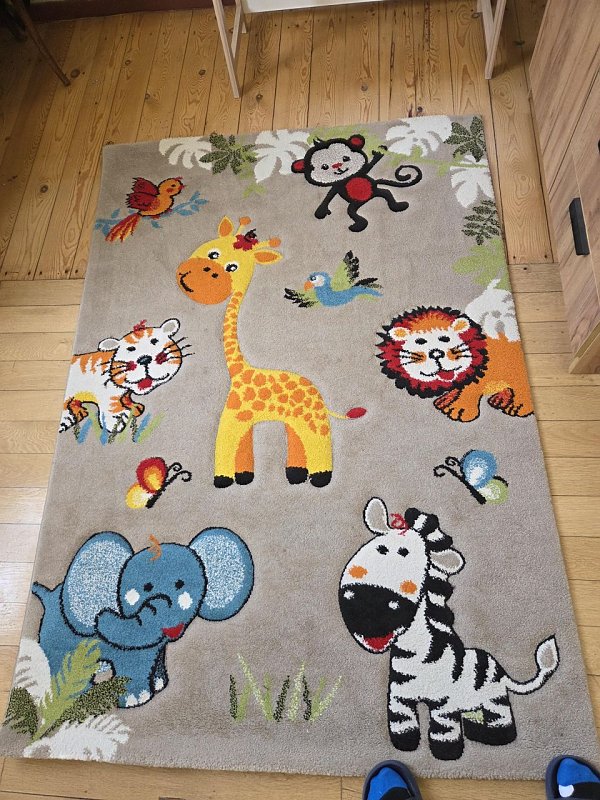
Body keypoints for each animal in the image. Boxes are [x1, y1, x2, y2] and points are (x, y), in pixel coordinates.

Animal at [32, 527, 254, 708]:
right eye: (143, 589)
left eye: (180, 585)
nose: (101, 615)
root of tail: (49, 596)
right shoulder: (129, 652)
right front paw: (137, 699)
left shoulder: (157, 650)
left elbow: (155, 662)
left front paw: (158, 683)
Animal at [59, 319, 188, 435]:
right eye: (130, 349)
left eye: (154, 341)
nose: (144, 359)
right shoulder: (105, 393)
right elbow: (111, 406)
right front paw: (117, 420)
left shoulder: (125, 392)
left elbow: (126, 398)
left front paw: (134, 407)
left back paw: (78, 413)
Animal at [176, 215, 365, 488]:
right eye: (213, 252)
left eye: (232, 266)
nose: (197, 272)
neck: (238, 370)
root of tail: (320, 395)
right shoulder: (244, 421)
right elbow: (242, 449)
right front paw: (244, 478)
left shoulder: (233, 418)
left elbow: (225, 446)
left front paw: (222, 480)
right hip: (293, 421)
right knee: (297, 442)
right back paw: (295, 475)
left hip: (312, 420)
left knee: (318, 442)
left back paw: (321, 478)